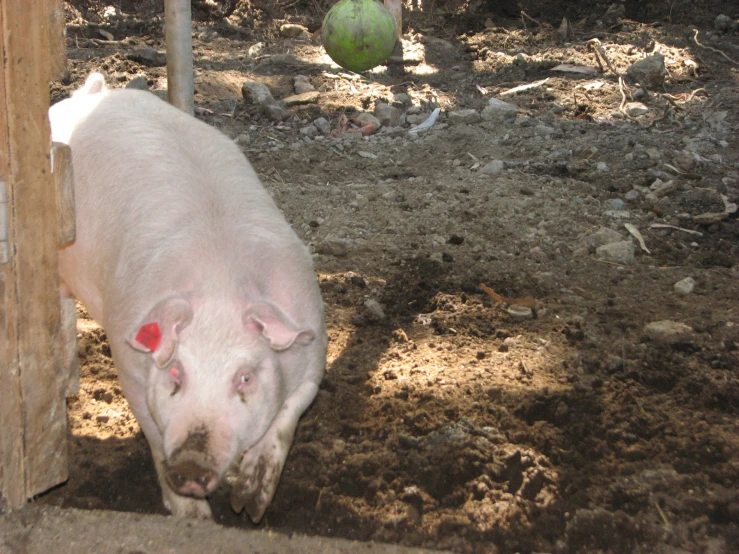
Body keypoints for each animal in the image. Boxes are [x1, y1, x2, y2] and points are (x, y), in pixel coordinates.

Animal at [50, 73, 328, 516]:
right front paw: (194, 518)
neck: (220, 286)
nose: (193, 468)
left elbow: (288, 414)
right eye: (177, 372)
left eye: (245, 377)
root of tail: (90, 93)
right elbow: (154, 437)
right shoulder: (129, 360)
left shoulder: (313, 347)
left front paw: (250, 504)